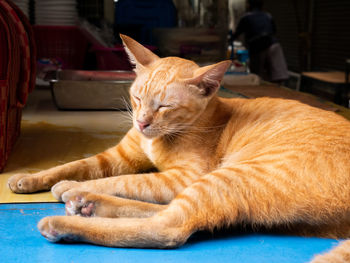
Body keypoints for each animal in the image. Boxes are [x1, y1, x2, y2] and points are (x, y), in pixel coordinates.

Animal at [6, 34, 350, 262]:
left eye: (165, 106)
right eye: (137, 98)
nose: (141, 122)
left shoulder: (182, 175)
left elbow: (124, 180)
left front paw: (71, 186)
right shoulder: (118, 156)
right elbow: (75, 164)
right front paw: (28, 178)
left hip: (230, 176)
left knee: (169, 226)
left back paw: (69, 214)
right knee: (166, 213)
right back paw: (87, 204)